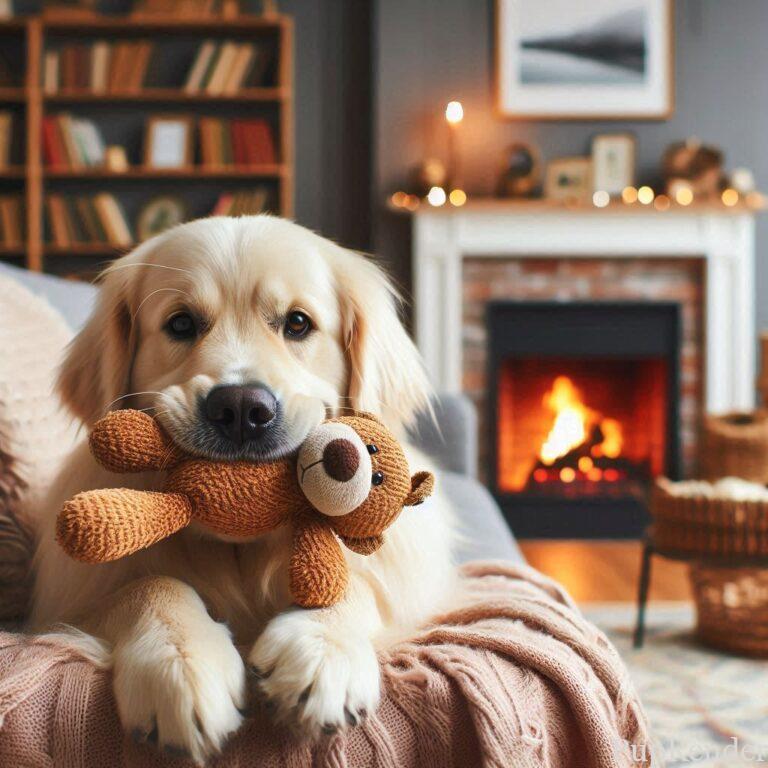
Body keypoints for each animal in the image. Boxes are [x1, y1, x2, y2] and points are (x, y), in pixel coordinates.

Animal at [28, 214, 456, 760]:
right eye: (181, 324)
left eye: (297, 323)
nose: (240, 409)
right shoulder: (73, 598)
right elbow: (150, 583)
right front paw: (179, 665)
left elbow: (354, 581)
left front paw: (322, 651)